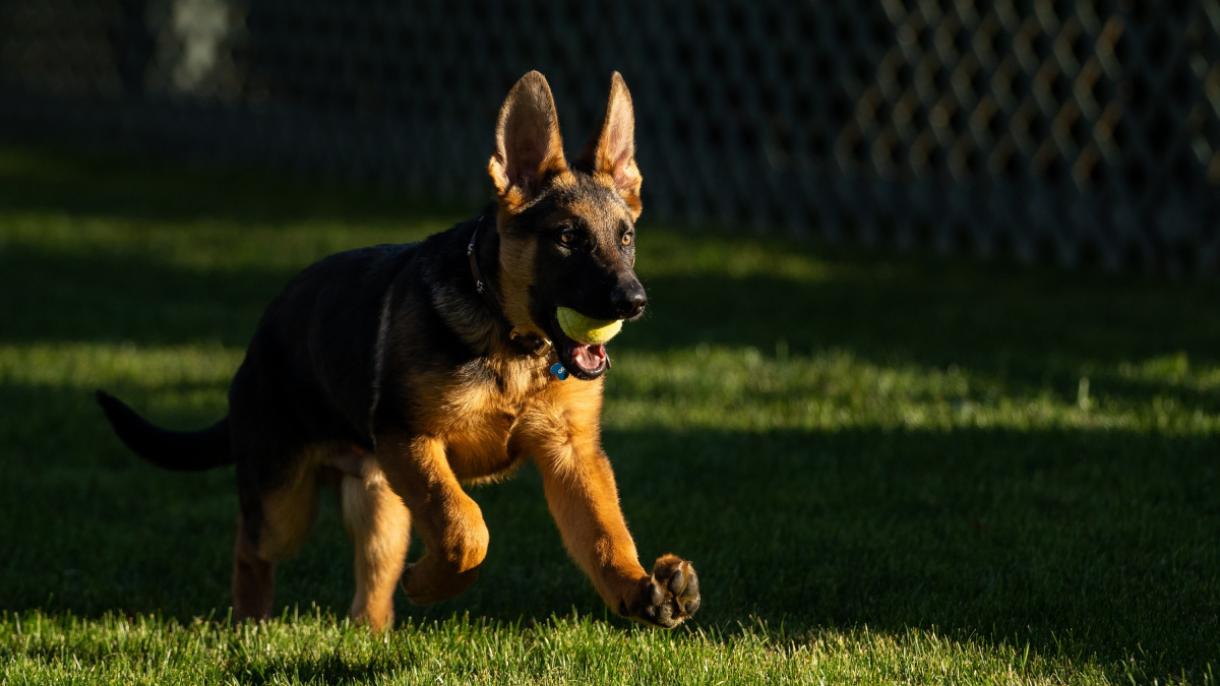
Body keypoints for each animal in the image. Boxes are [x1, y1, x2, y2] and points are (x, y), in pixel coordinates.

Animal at [95, 72, 702, 629]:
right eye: (567, 237)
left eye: (626, 237)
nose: (634, 301)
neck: (511, 343)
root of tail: (260, 340)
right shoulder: (411, 438)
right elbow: (466, 525)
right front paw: (431, 582)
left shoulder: (571, 454)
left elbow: (604, 532)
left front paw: (639, 588)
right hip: (286, 500)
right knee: (251, 541)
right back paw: (250, 620)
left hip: (380, 501)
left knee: (371, 580)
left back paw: (372, 632)